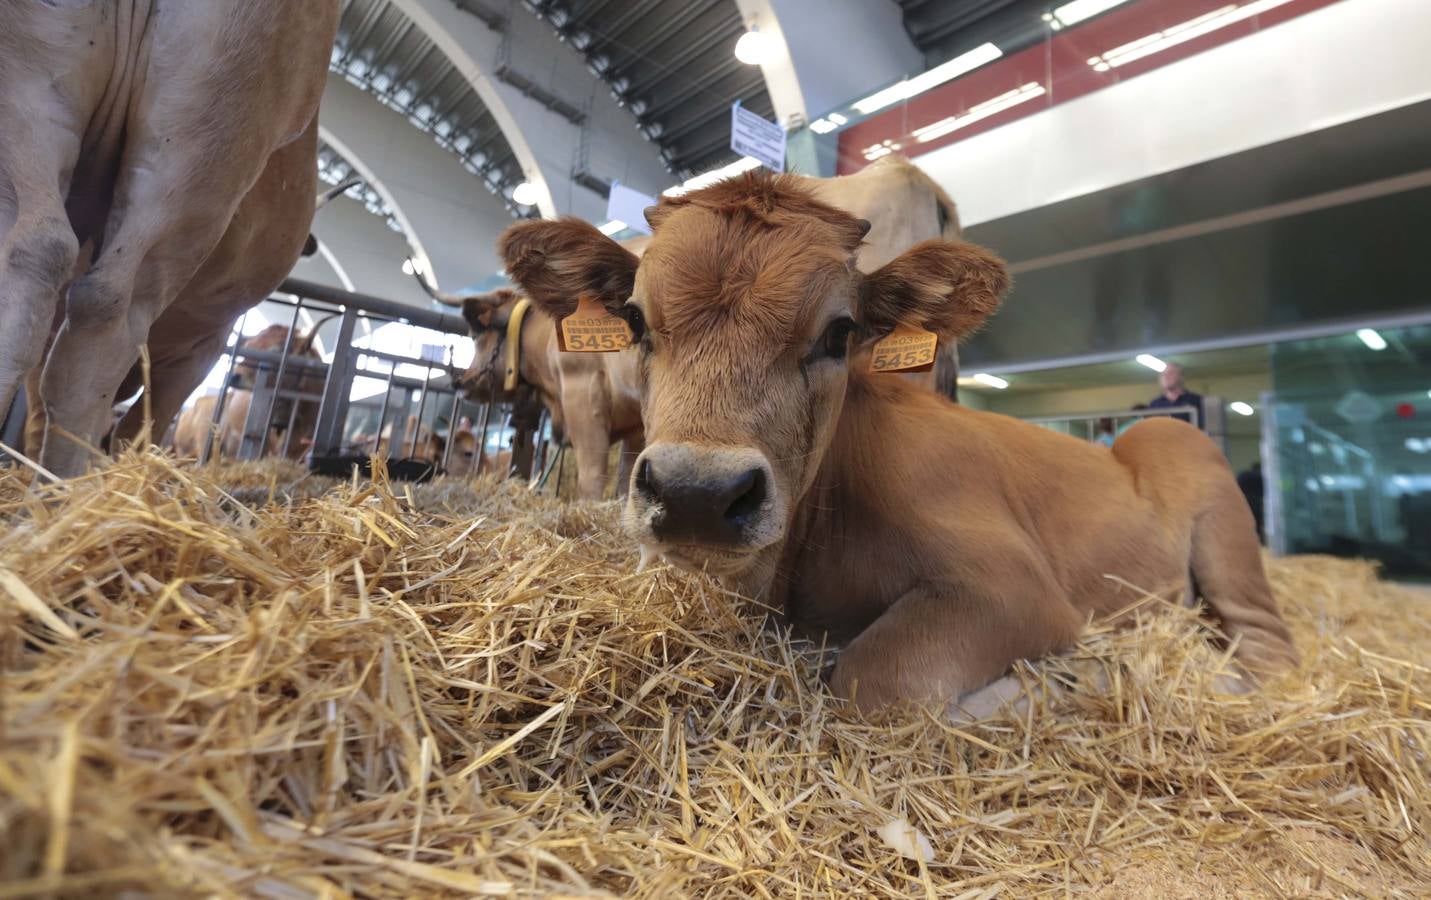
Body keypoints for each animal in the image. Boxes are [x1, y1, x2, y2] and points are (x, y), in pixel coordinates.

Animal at [0, 1, 340, 477]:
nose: (240, 377)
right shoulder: (205, 345)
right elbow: (131, 431)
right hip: (210, 146)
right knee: (106, 313)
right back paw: (64, 487)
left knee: (40, 262)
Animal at [497, 170, 1305, 715]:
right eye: (635, 320)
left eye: (838, 332)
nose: (699, 493)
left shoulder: (1015, 588)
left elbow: (872, 679)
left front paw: (1057, 682)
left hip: (1197, 482)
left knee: (1268, 650)